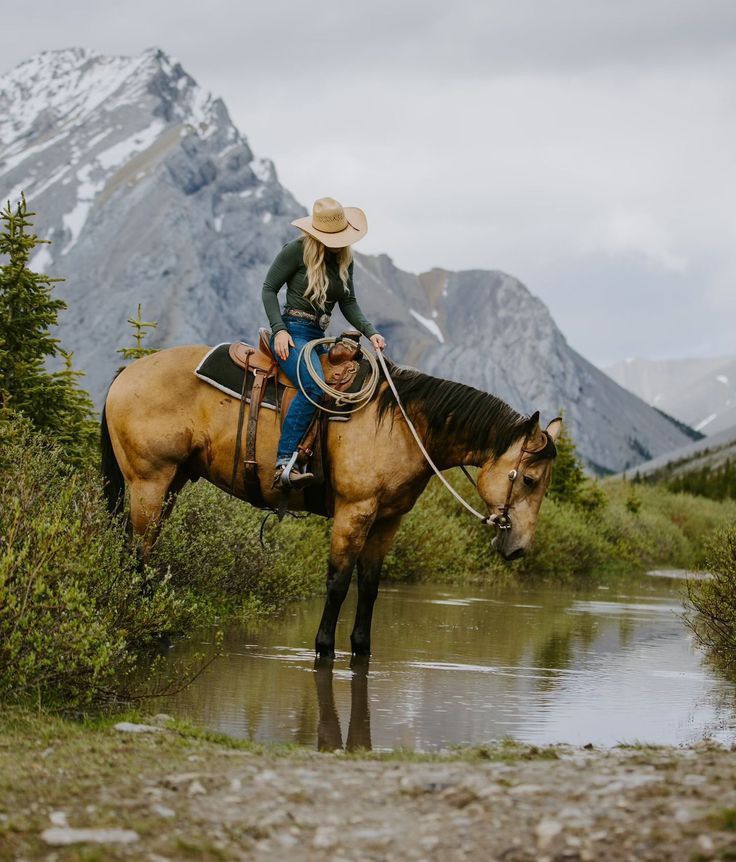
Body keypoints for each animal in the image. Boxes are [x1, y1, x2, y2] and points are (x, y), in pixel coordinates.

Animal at [98, 334, 556, 660]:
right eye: (529, 479)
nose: (519, 547)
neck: (400, 426)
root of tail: (126, 373)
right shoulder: (355, 511)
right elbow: (337, 582)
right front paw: (323, 648)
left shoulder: (388, 520)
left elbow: (369, 586)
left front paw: (362, 650)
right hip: (149, 482)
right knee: (138, 554)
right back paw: (154, 630)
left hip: (170, 483)